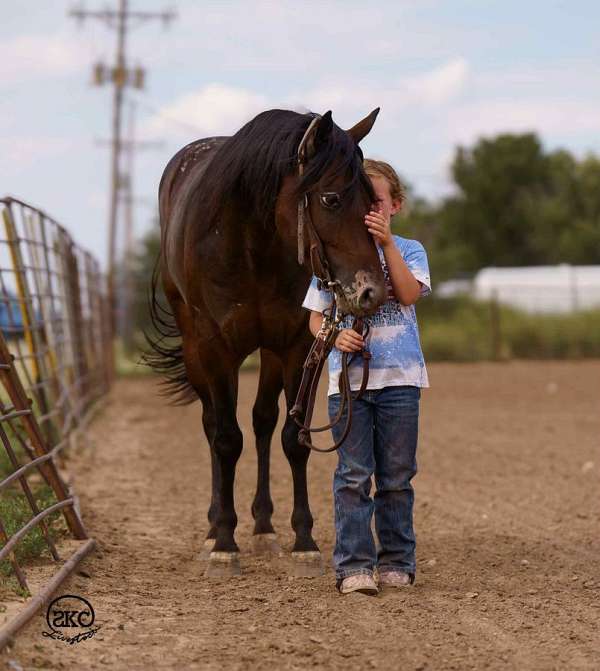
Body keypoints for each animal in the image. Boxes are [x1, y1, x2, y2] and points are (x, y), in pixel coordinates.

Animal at [148, 108, 387, 576]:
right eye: (331, 199)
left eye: (373, 200)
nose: (372, 291)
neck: (251, 243)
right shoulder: (215, 348)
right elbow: (226, 438)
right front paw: (224, 544)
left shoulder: (295, 345)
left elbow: (293, 439)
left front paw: (304, 542)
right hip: (195, 351)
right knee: (213, 425)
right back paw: (214, 529)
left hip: (270, 354)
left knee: (261, 421)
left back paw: (263, 527)